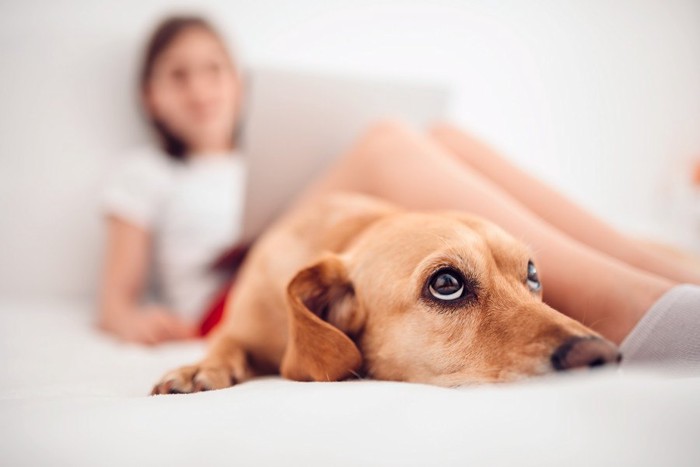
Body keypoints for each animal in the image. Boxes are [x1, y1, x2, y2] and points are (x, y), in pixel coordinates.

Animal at [152, 191, 616, 394]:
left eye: (532, 274)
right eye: (446, 284)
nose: (602, 356)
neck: (347, 236)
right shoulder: (240, 328)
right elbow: (225, 343)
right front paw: (199, 368)